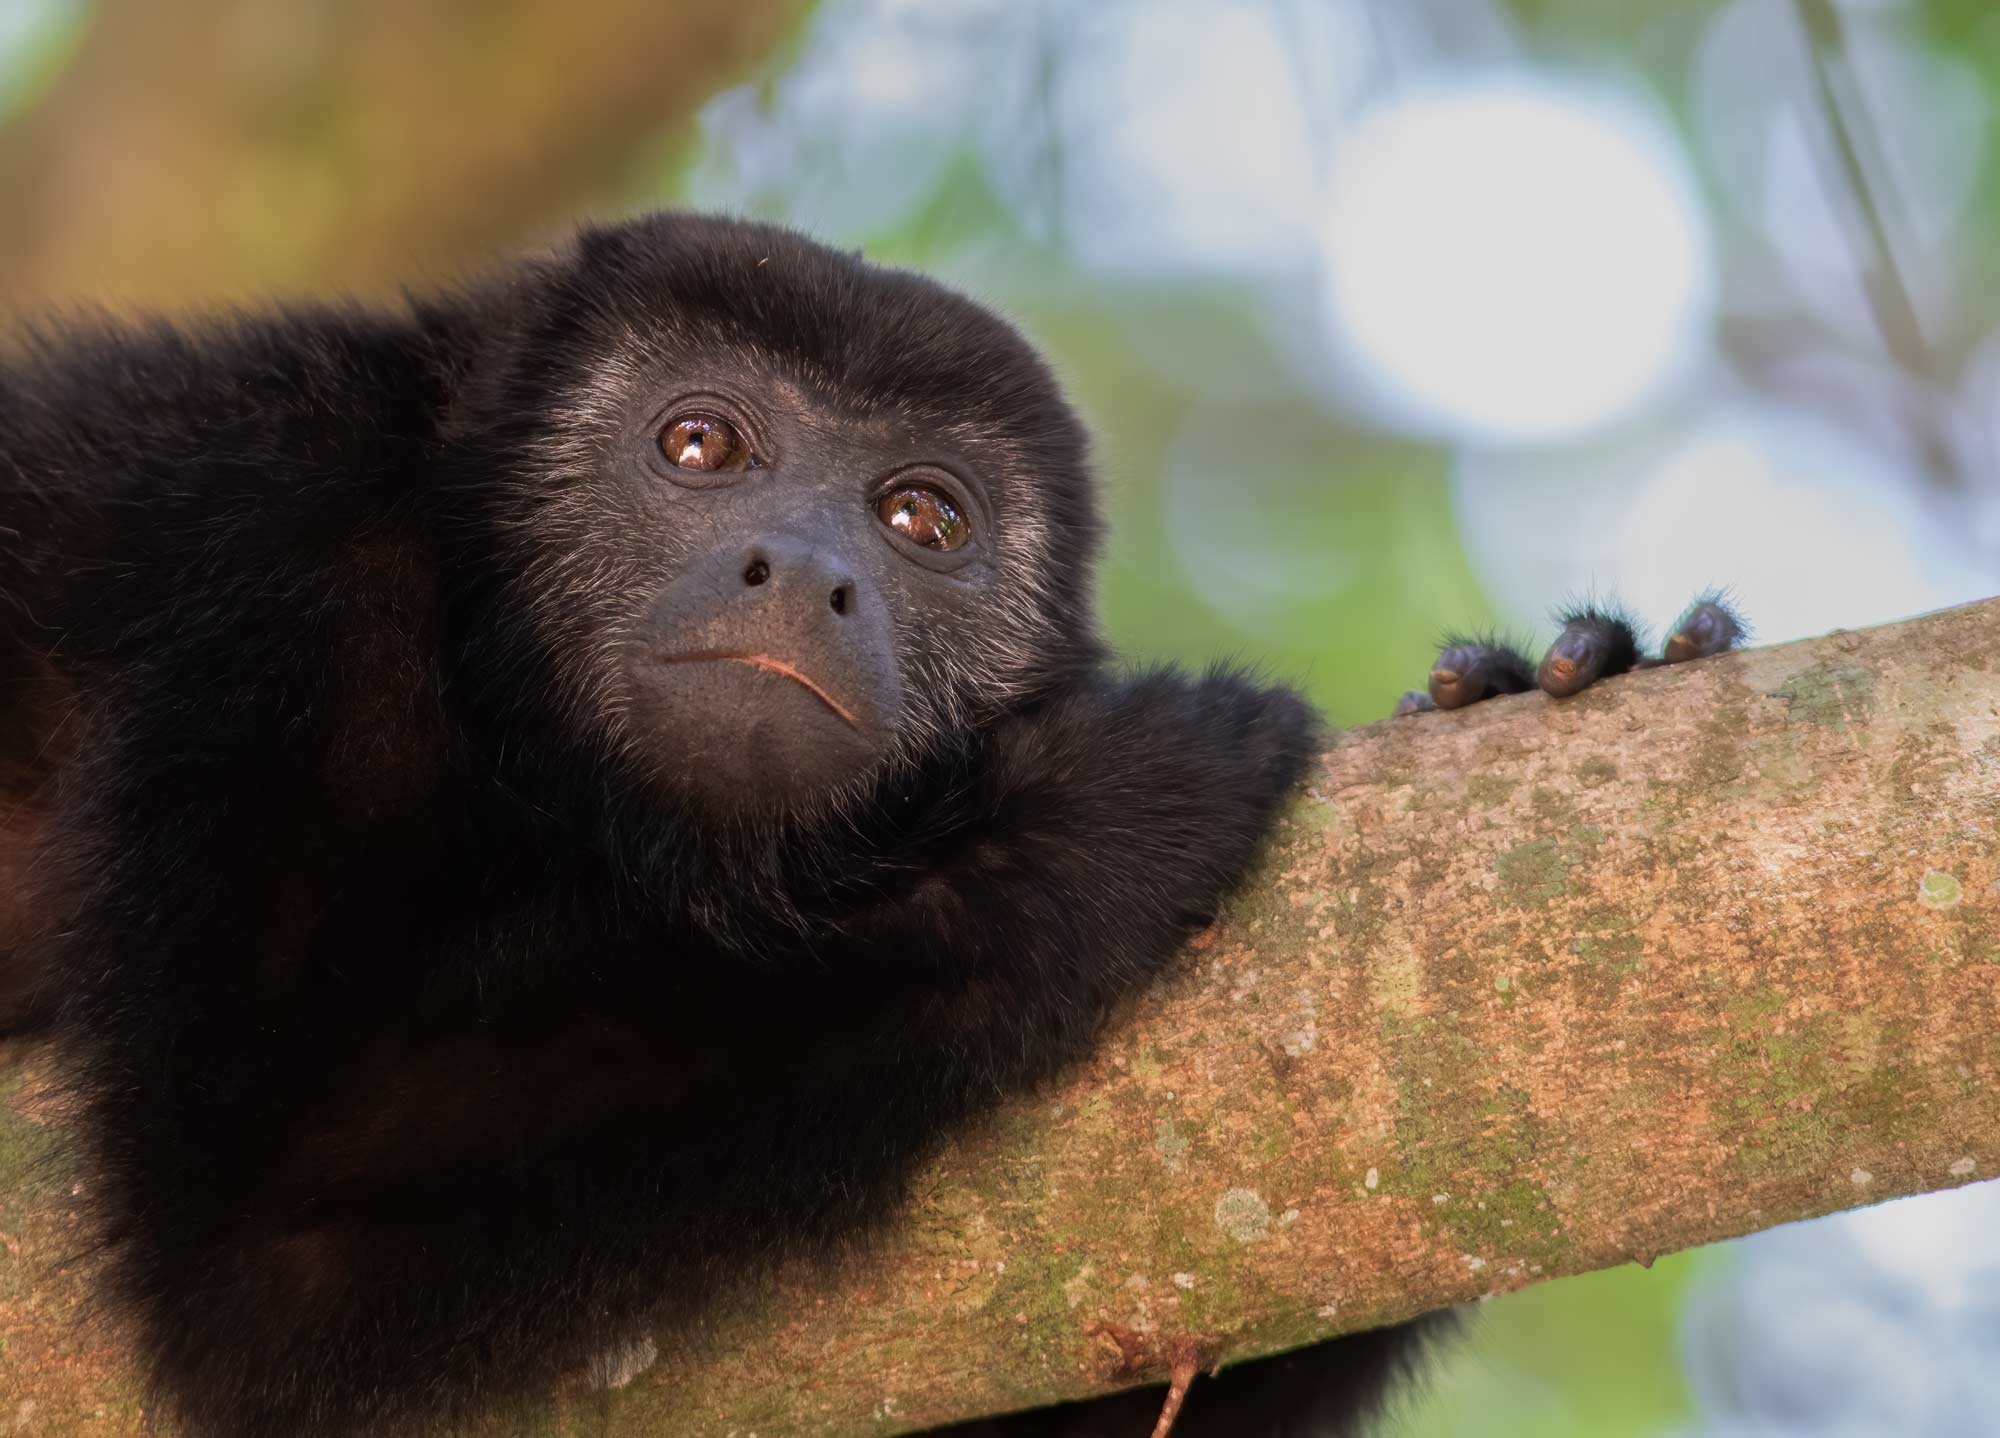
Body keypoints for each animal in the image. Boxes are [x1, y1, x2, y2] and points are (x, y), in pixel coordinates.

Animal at [0, 217, 1736, 1438]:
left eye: (920, 517)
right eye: (700, 445)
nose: (811, 568)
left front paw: (1563, 665)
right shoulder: (302, 566)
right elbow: (260, 1221)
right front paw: (1091, 823)